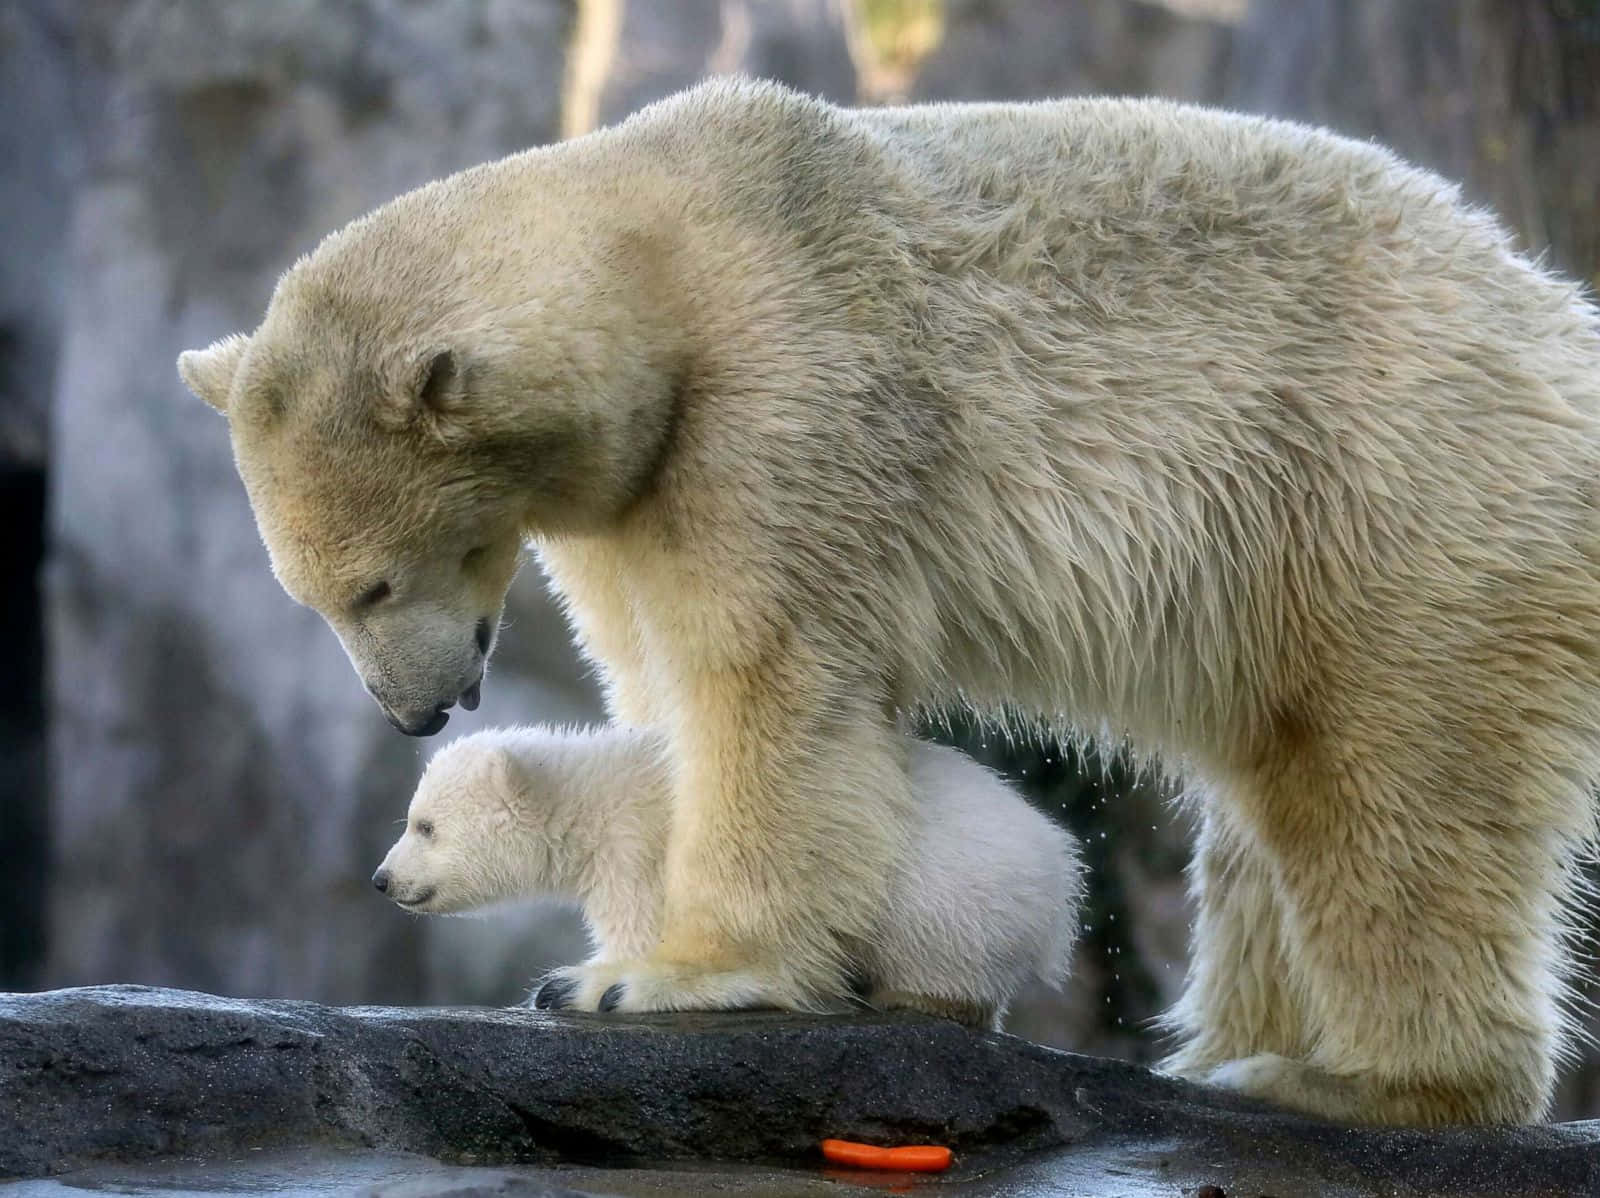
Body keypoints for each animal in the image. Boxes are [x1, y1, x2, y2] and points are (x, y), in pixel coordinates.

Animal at [372, 725, 1082, 1030]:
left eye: (425, 826)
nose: (381, 879)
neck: (597, 788)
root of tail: (1061, 878)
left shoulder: (638, 848)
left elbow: (643, 930)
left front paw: (581, 983)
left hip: (948, 897)